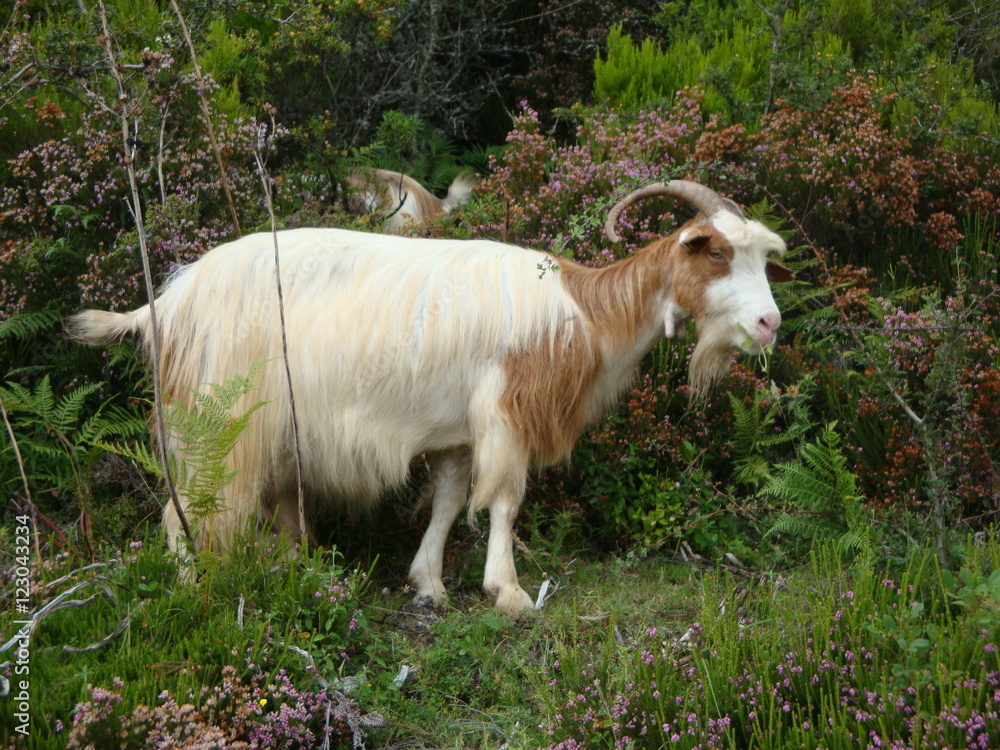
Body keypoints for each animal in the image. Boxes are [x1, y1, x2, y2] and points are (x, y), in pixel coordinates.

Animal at [68, 180, 792, 614]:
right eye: (716, 254)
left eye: (764, 260)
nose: (769, 323)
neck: (583, 314)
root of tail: (166, 303)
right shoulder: (505, 411)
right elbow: (503, 501)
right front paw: (509, 590)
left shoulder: (457, 432)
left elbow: (447, 503)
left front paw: (430, 583)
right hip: (218, 422)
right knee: (182, 513)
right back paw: (195, 595)